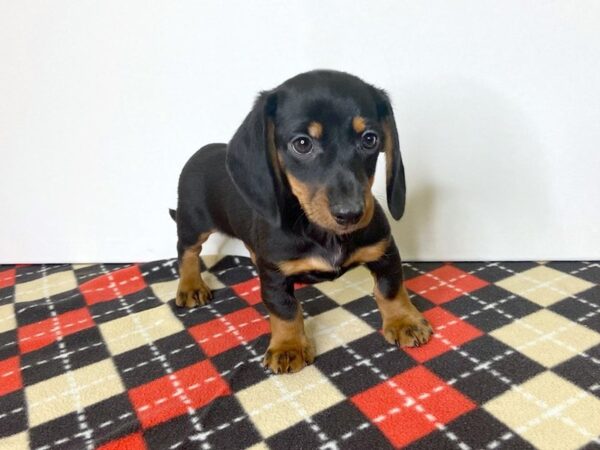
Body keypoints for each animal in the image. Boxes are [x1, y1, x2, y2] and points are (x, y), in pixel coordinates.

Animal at [172, 69, 432, 372]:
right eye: (302, 144)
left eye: (370, 139)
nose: (351, 214)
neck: (321, 231)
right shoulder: (274, 275)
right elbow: (285, 310)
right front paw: (288, 347)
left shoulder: (383, 249)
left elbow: (390, 288)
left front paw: (404, 321)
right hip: (193, 223)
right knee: (187, 251)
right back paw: (191, 286)